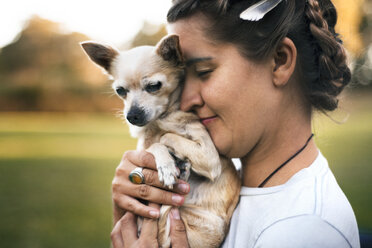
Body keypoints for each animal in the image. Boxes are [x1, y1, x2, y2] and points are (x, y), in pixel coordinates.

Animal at [80, 35, 241, 248]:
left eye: (154, 86)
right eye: (120, 91)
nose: (132, 115)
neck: (160, 120)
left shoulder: (209, 156)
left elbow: (164, 137)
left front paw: (167, 165)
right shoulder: (144, 147)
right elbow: (153, 145)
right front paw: (169, 162)